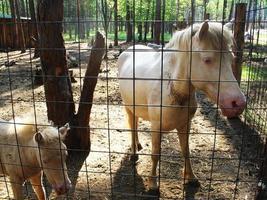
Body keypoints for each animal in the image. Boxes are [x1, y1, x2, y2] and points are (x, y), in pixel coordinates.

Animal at [119, 21, 247, 190]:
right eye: (207, 59)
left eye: (230, 58)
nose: (238, 103)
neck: (173, 88)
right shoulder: (156, 126)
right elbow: (155, 154)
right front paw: (153, 183)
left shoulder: (185, 124)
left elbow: (186, 151)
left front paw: (191, 177)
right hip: (128, 108)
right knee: (132, 126)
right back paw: (134, 152)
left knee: (136, 123)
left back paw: (138, 144)